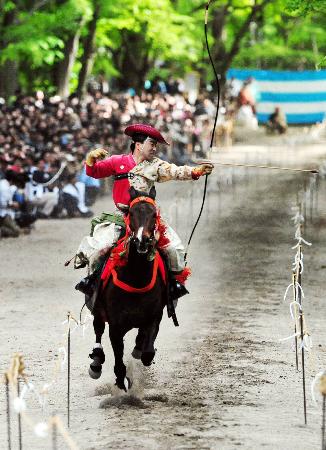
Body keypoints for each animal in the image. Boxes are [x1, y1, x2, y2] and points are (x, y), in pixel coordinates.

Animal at [89, 186, 167, 390]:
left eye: (154, 214)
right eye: (131, 213)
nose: (142, 240)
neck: (136, 279)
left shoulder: (154, 317)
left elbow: (147, 352)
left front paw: (141, 351)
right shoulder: (116, 325)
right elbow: (118, 360)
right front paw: (121, 381)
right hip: (97, 307)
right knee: (98, 328)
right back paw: (96, 362)